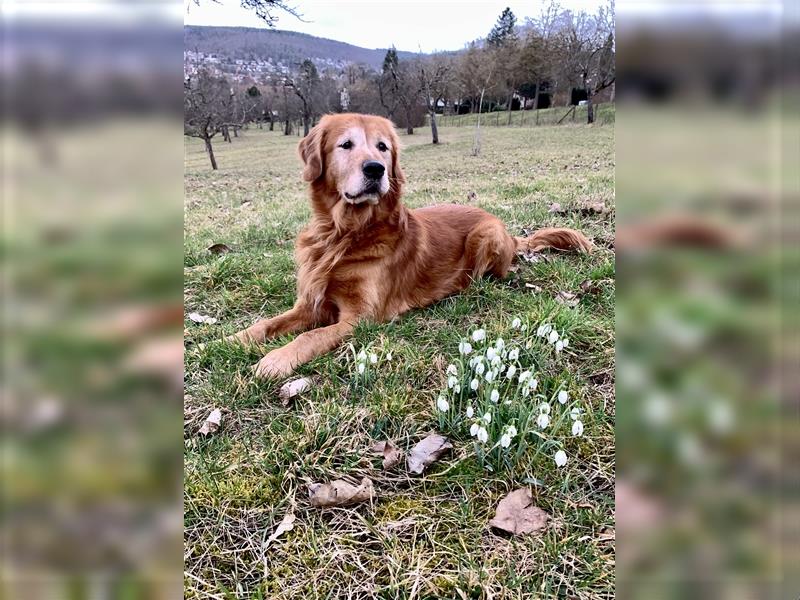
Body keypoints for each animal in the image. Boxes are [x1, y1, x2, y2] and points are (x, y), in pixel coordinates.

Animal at [228, 113, 592, 378]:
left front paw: (276, 359)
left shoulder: (361, 317)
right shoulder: (310, 304)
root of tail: (508, 230)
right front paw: (230, 340)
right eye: (345, 144)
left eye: (382, 147)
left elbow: (311, 335)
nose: (375, 169)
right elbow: (266, 324)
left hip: (484, 235)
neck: (345, 234)